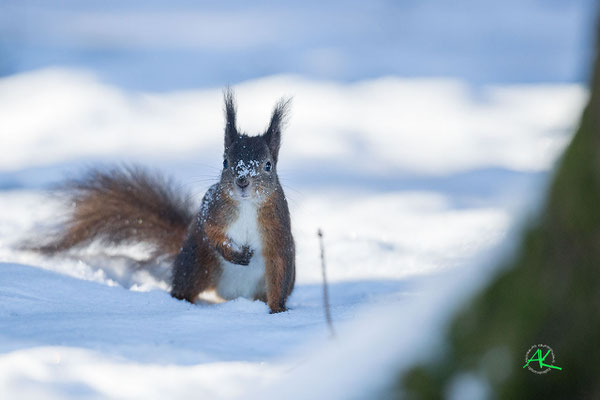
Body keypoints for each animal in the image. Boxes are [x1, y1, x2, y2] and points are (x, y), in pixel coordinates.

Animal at [33, 90, 296, 312]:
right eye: (225, 162)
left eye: (268, 165)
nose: (242, 181)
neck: (246, 205)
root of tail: (231, 297)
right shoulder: (212, 209)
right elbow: (211, 231)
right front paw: (234, 253)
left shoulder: (278, 228)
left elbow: (278, 262)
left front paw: (278, 311)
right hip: (196, 264)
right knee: (185, 286)